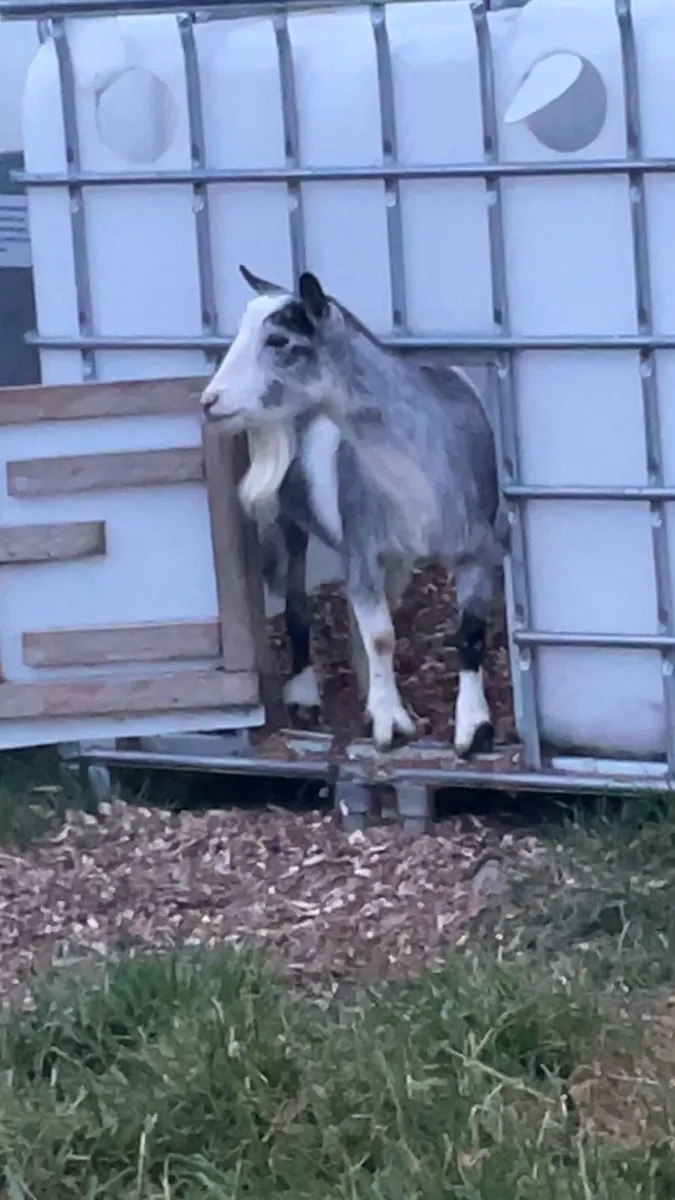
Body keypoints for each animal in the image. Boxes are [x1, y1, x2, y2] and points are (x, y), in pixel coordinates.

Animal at [201, 265, 508, 755]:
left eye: (279, 340)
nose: (210, 401)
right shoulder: (362, 544)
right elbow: (381, 636)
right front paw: (389, 723)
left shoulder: (475, 550)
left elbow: (470, 632)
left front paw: (473, 730)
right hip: (293, 520)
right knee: (297, 604)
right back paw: (306, 694)